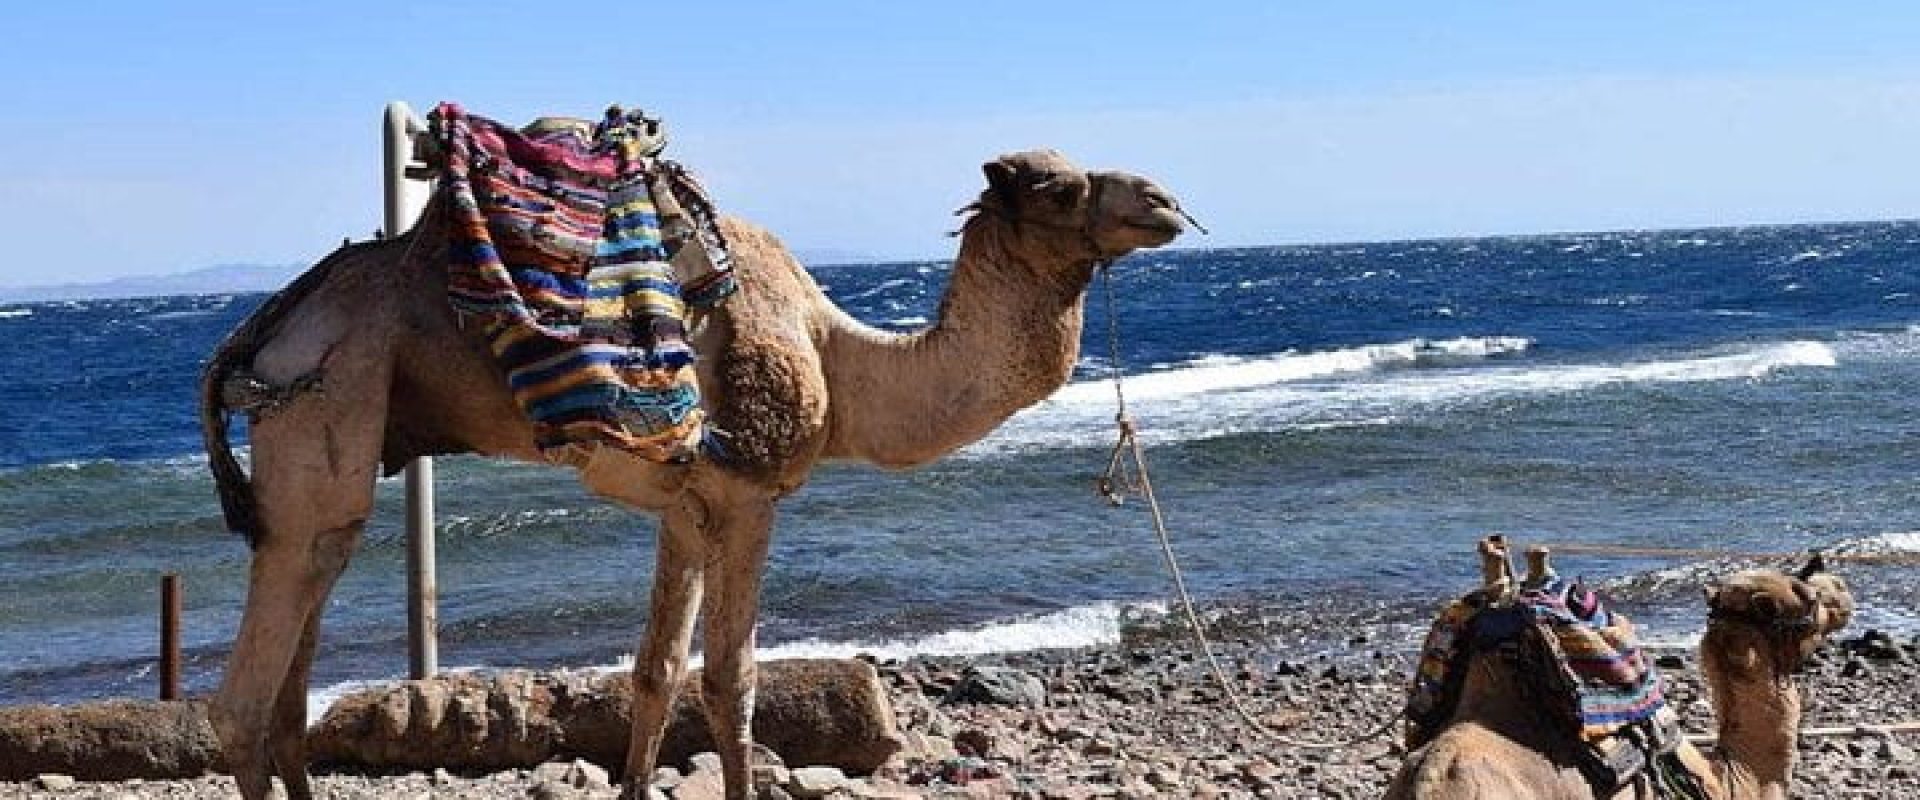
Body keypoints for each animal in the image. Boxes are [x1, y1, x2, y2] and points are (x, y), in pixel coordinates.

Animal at [197, 147, 1188, 800]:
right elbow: (730, 680)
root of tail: (264, 330)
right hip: (327, 398)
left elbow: (656, 670)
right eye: (1059, 186)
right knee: (244, 699)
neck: (838, 357)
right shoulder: (749, 494)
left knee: (293, 671)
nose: (1165, 199)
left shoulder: (683, 505)